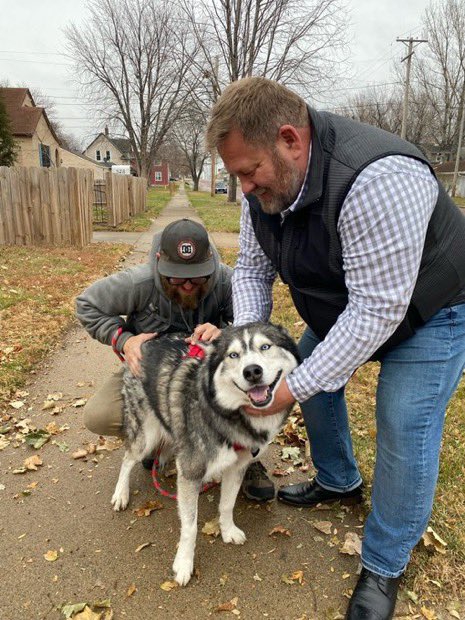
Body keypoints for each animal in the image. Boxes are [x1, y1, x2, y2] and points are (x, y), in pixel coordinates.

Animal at [110, 324, 298, 588]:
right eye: (233, 355)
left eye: (265, 346)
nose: (252, 372)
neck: (227, 415)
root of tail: (144, 340)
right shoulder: (190, 472)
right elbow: (190, 526)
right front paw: (184, 564)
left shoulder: (237, 466)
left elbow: (227, 504)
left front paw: (227, 531)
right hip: (145, 435)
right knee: (128, 459)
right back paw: (121, 493)